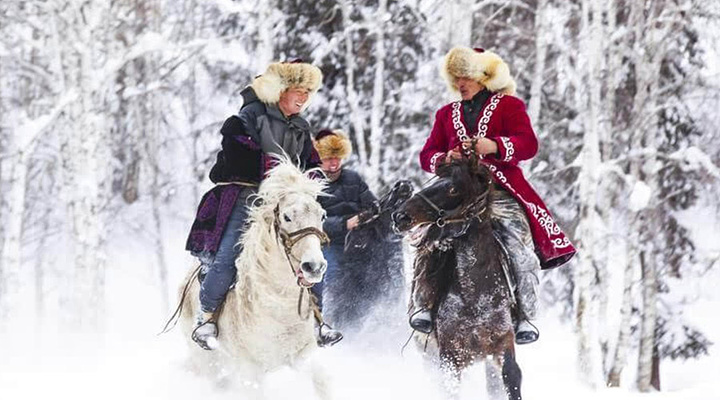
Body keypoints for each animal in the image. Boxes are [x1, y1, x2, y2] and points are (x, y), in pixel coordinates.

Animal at [183, 159, 334, 396]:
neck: (280, 308)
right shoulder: (250, 370)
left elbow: (323, 382)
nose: (314, 266)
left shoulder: (304, 357)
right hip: (209, 361)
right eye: (287, 217)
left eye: (322, 216)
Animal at [394, 159, 524, 400]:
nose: (400, 216)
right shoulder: (450, 358)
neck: (476, 296)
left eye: (453, 189)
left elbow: (511, 376)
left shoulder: (503, 345)